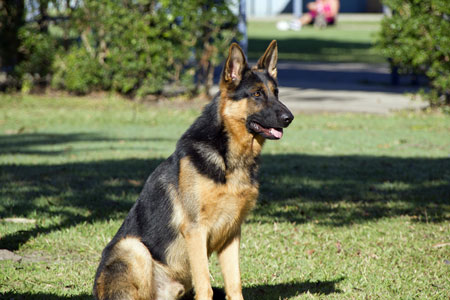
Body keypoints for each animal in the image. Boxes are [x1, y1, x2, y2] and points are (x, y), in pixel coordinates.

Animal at [93, 40, 294, 300]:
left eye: (276, 92)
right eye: (257, 94)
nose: (290, 117)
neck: (228, 156)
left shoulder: (232, 234)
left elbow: (234, 284)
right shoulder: (196, 231)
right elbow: (205, 285)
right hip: (134, 247)